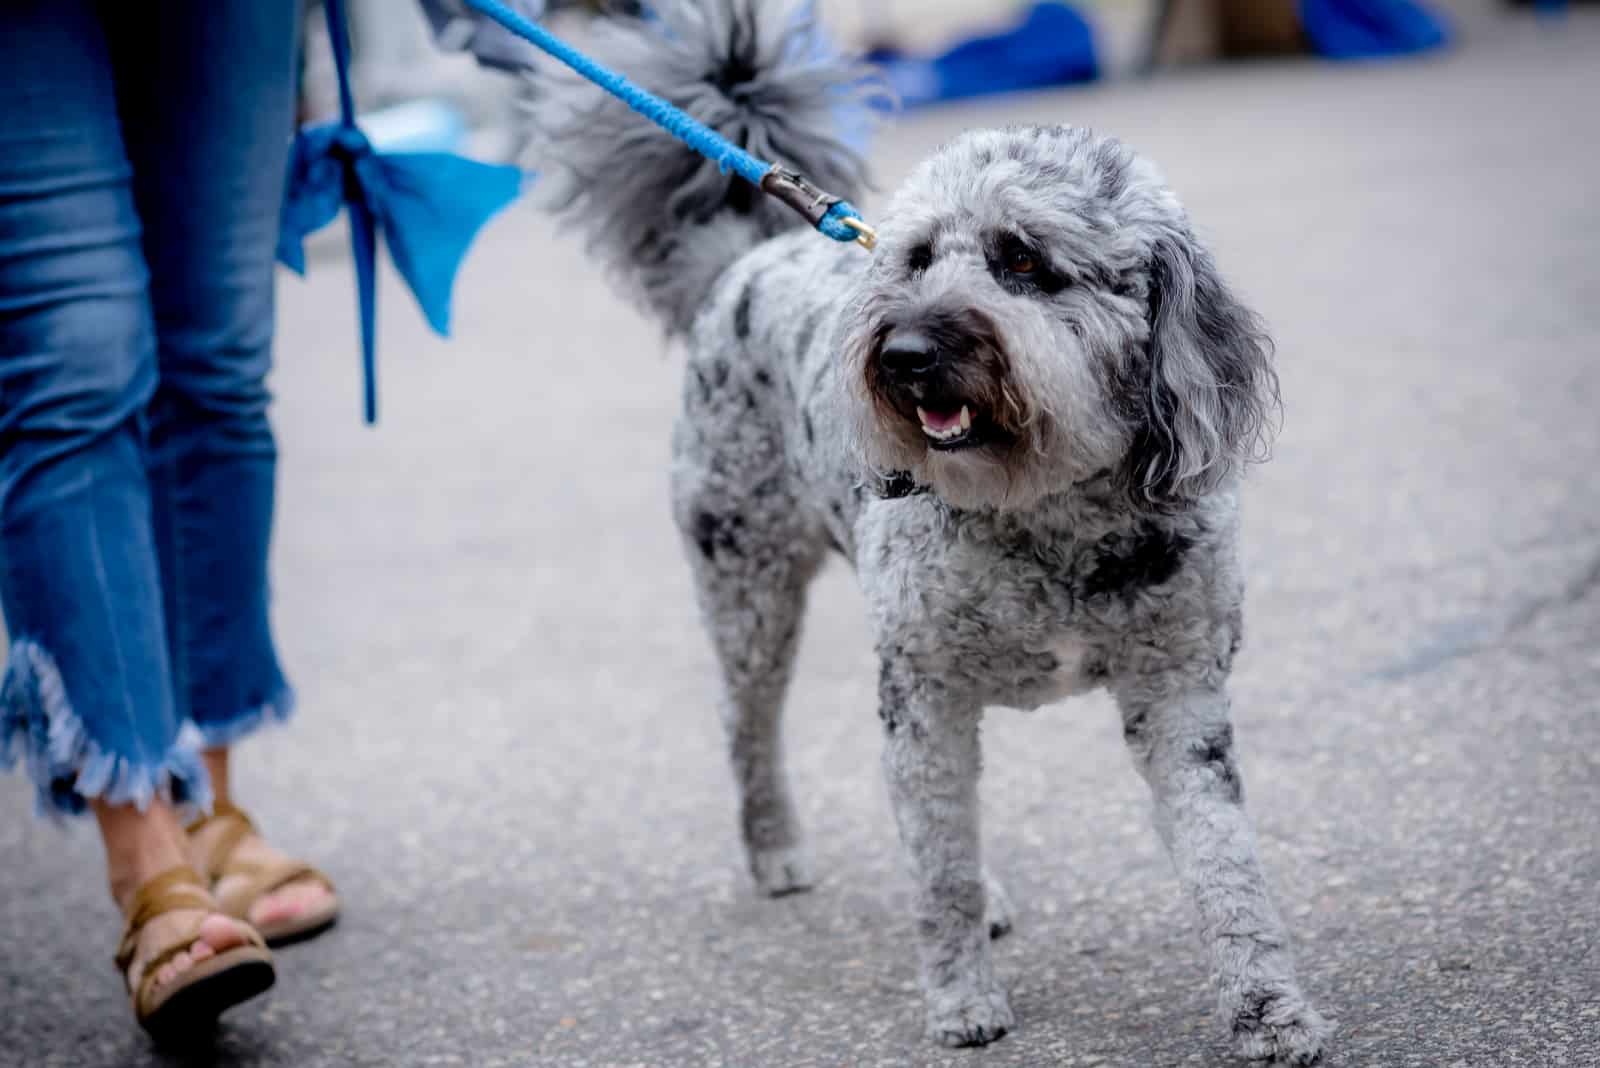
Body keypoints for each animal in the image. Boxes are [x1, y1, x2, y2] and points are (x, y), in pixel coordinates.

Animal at [521, 0, 1324, 1061]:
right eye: (915, 258)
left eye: (1022, 257)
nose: (902, 353)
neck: (1046, 514)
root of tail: (742, 263)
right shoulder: (922, 695)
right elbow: (938, 872)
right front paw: (961, 1003)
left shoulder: (1180, 693)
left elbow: (1225, 864)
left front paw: (1270, 1012)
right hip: (746, 589)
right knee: (748, 728)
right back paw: (776, 851)